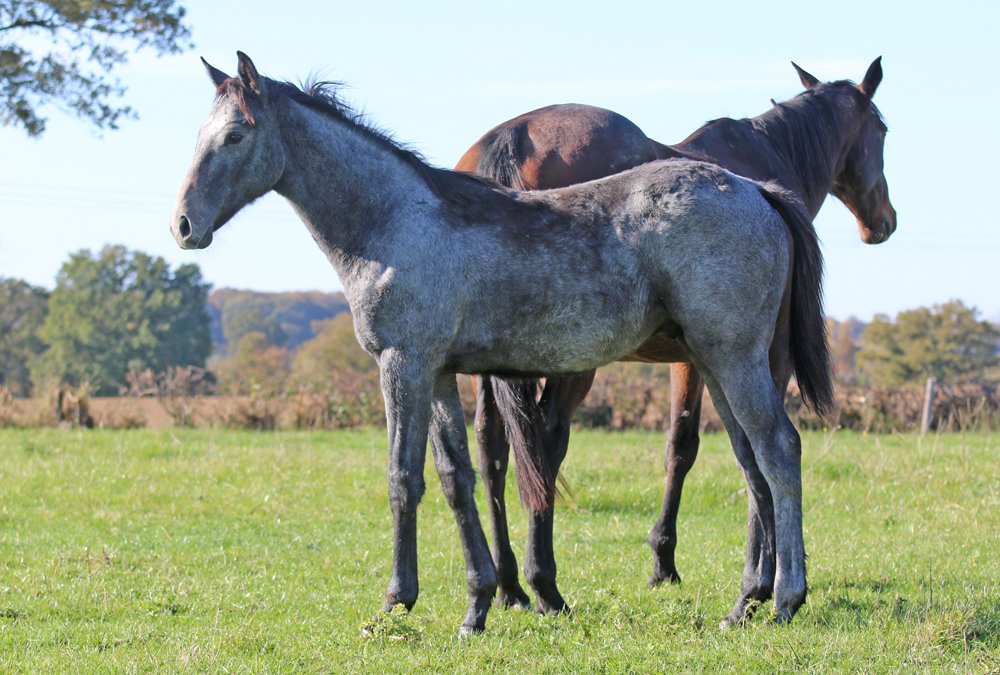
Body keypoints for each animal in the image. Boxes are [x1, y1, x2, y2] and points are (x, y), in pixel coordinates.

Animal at [172, 52, 828, 633]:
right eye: (199, 132)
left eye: (234, 135)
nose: (183, 225)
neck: (395, 222)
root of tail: (755, 189)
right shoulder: (438, 373)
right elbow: (455, 478)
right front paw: (478, 606)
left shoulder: (402, 365)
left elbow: (402, 477)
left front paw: (394, 603)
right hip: (714, 363)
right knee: (750, 462)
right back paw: (744, 604)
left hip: (735, 359)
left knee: (779, 449)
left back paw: (785, 601)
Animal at [454, 59, 895, 623]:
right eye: (882, 130)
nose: (883, 222)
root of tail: (513, 139)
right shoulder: (731, 359)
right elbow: (689, 447)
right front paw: (675, 563)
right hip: (573, 362)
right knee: (545, 444)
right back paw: (543, 583)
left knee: (495, 447)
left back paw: (511, 586)